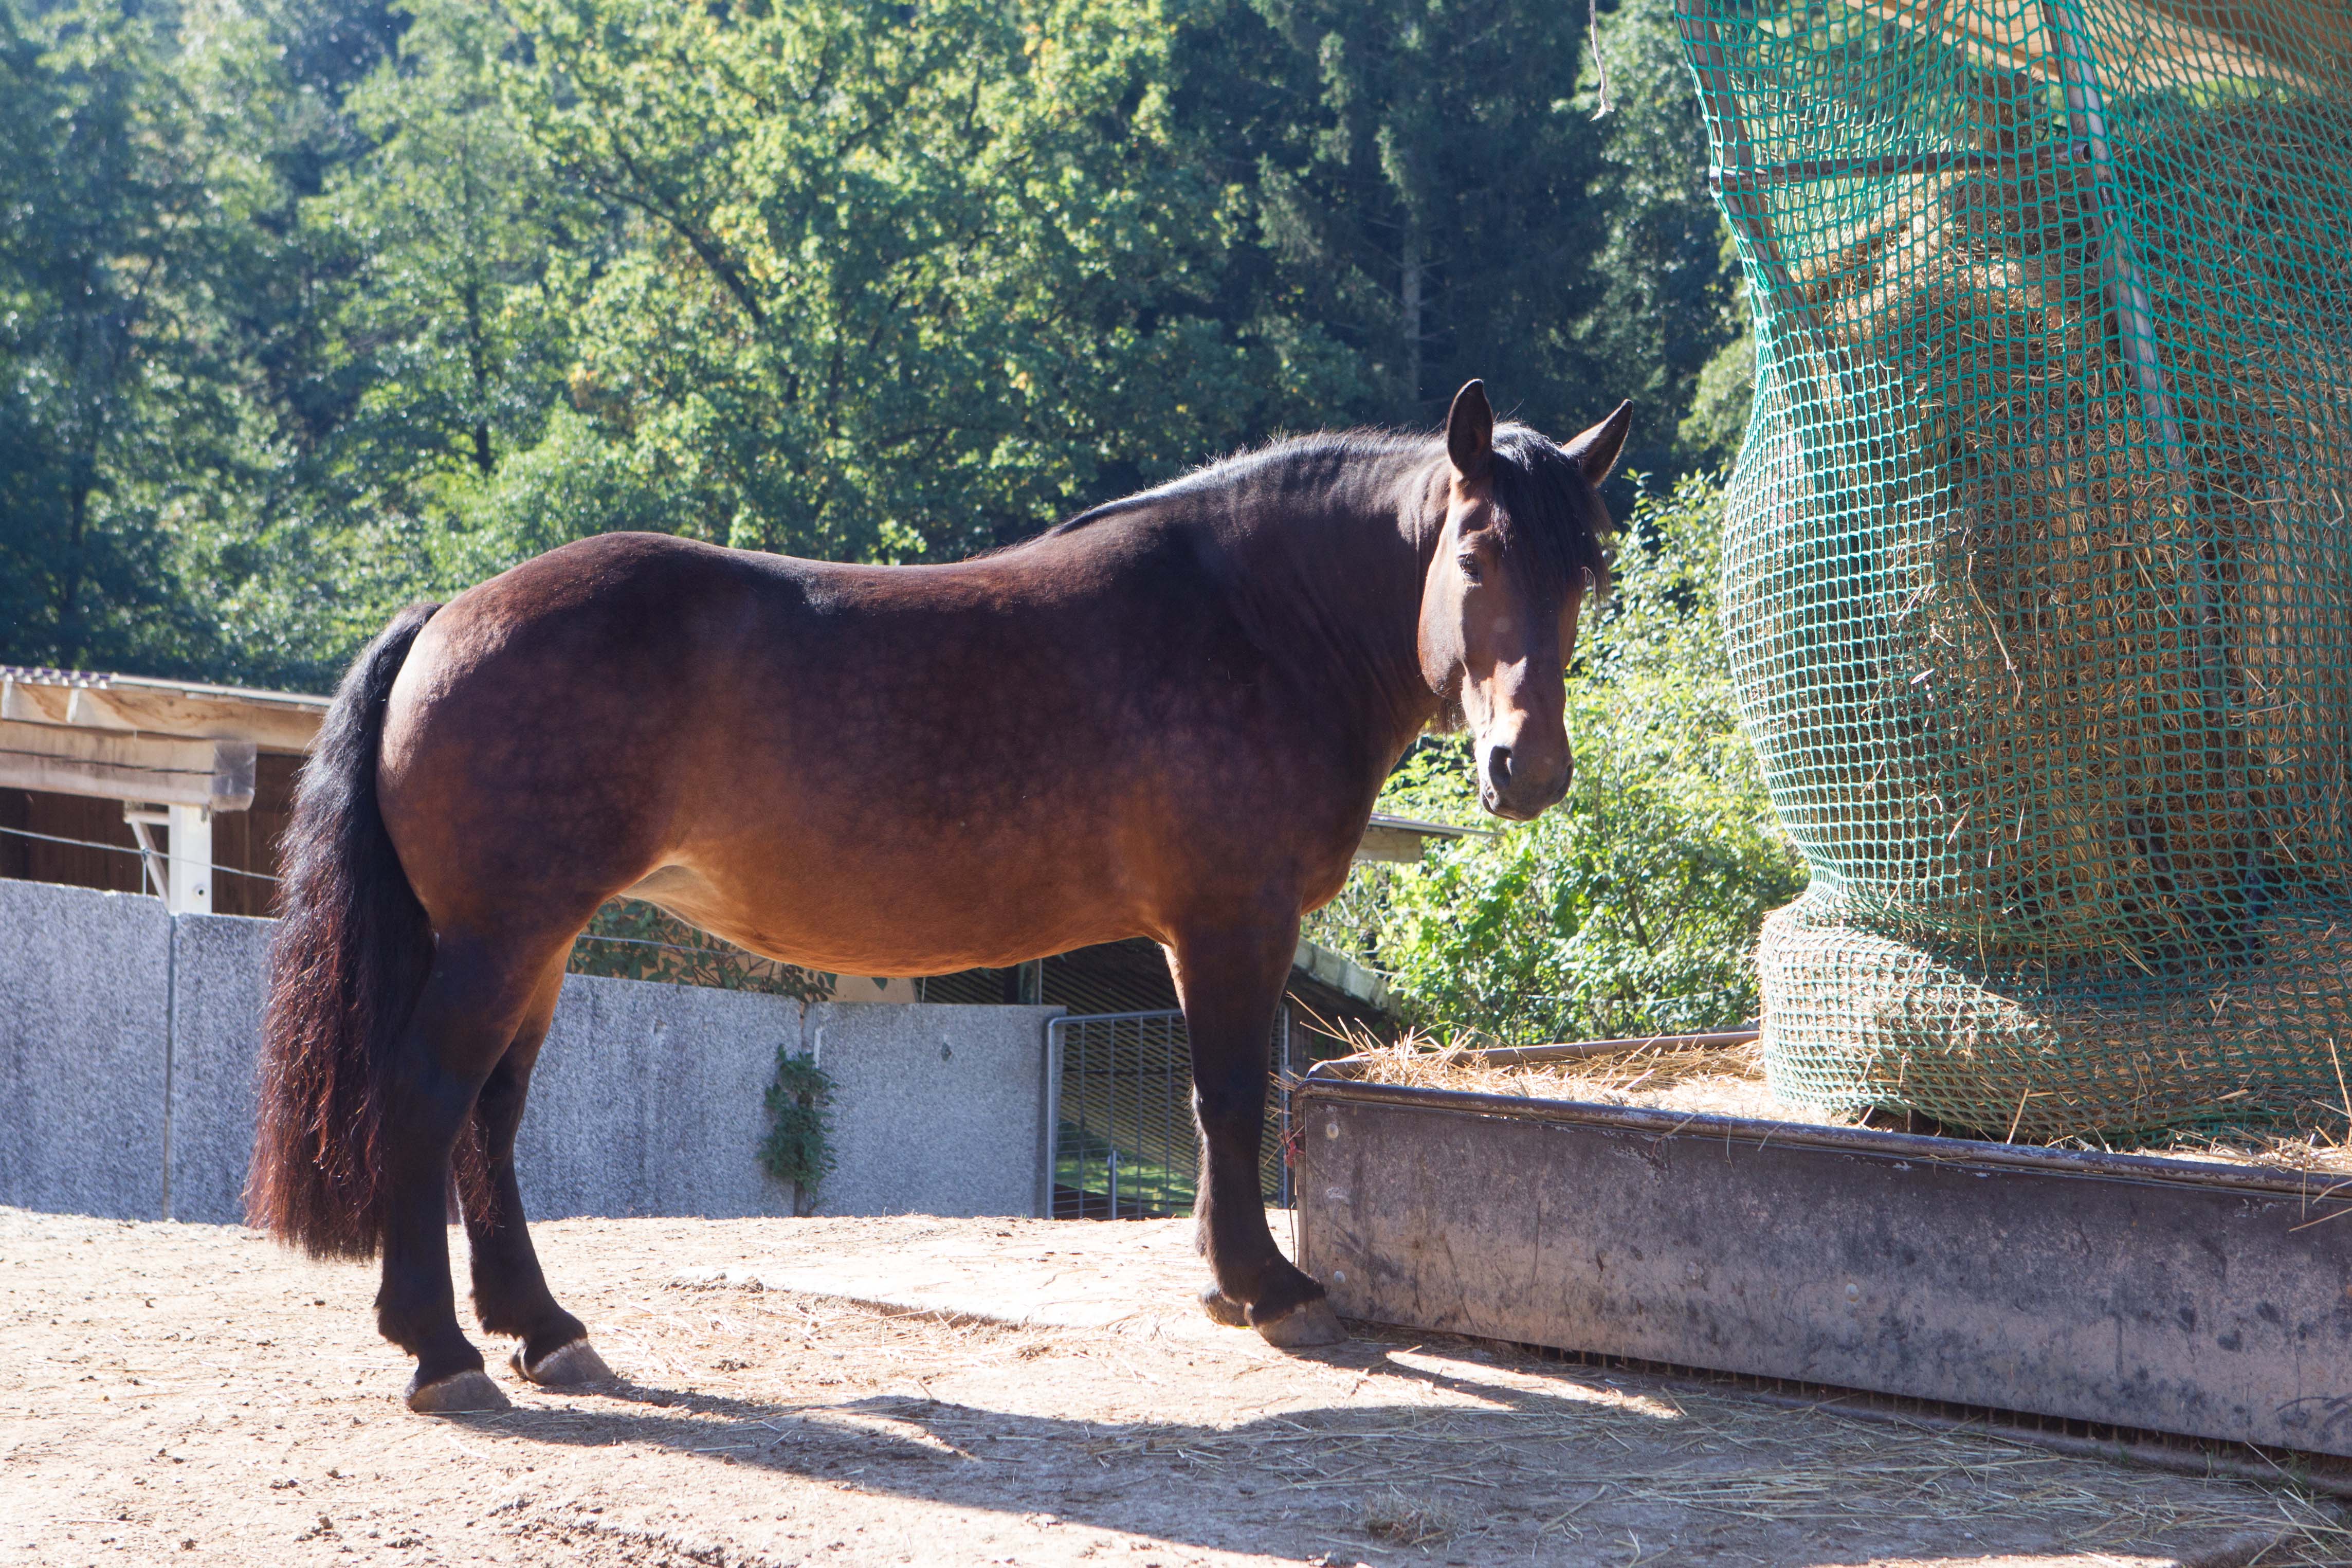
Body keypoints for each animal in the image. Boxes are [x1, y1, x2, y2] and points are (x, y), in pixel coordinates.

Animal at [247, 379, 1628, 1413]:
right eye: (1475, 552)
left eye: (1591, 570)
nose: (1529, 766)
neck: (1253, 619)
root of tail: (448, 617)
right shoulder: (1235, 920)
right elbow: (1233, 1096)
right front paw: (1267, 1286)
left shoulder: (1193, 935)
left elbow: (1211, 1103)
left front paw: (1224, 1278)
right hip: (503, 937)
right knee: (430, 1097)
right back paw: (442, 1349)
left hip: (534, 943)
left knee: (490, 1115)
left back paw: (542, 1327)